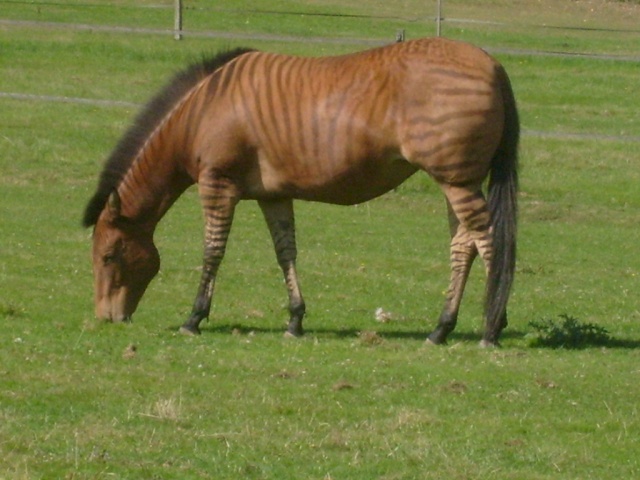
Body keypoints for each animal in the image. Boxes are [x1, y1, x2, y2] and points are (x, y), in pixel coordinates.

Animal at [82, 36, 516, 344]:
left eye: (108, 256)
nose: (106, 318)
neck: (201, 113)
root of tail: (493, 64)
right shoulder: (273, 194)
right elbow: (285, 252)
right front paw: (295, 320)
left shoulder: (218, 183)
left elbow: (213, 250)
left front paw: (195, 317)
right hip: (455, 179)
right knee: (463, 245)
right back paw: (442, 329)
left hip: (456, 179)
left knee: (487, 239)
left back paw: (492, 328)